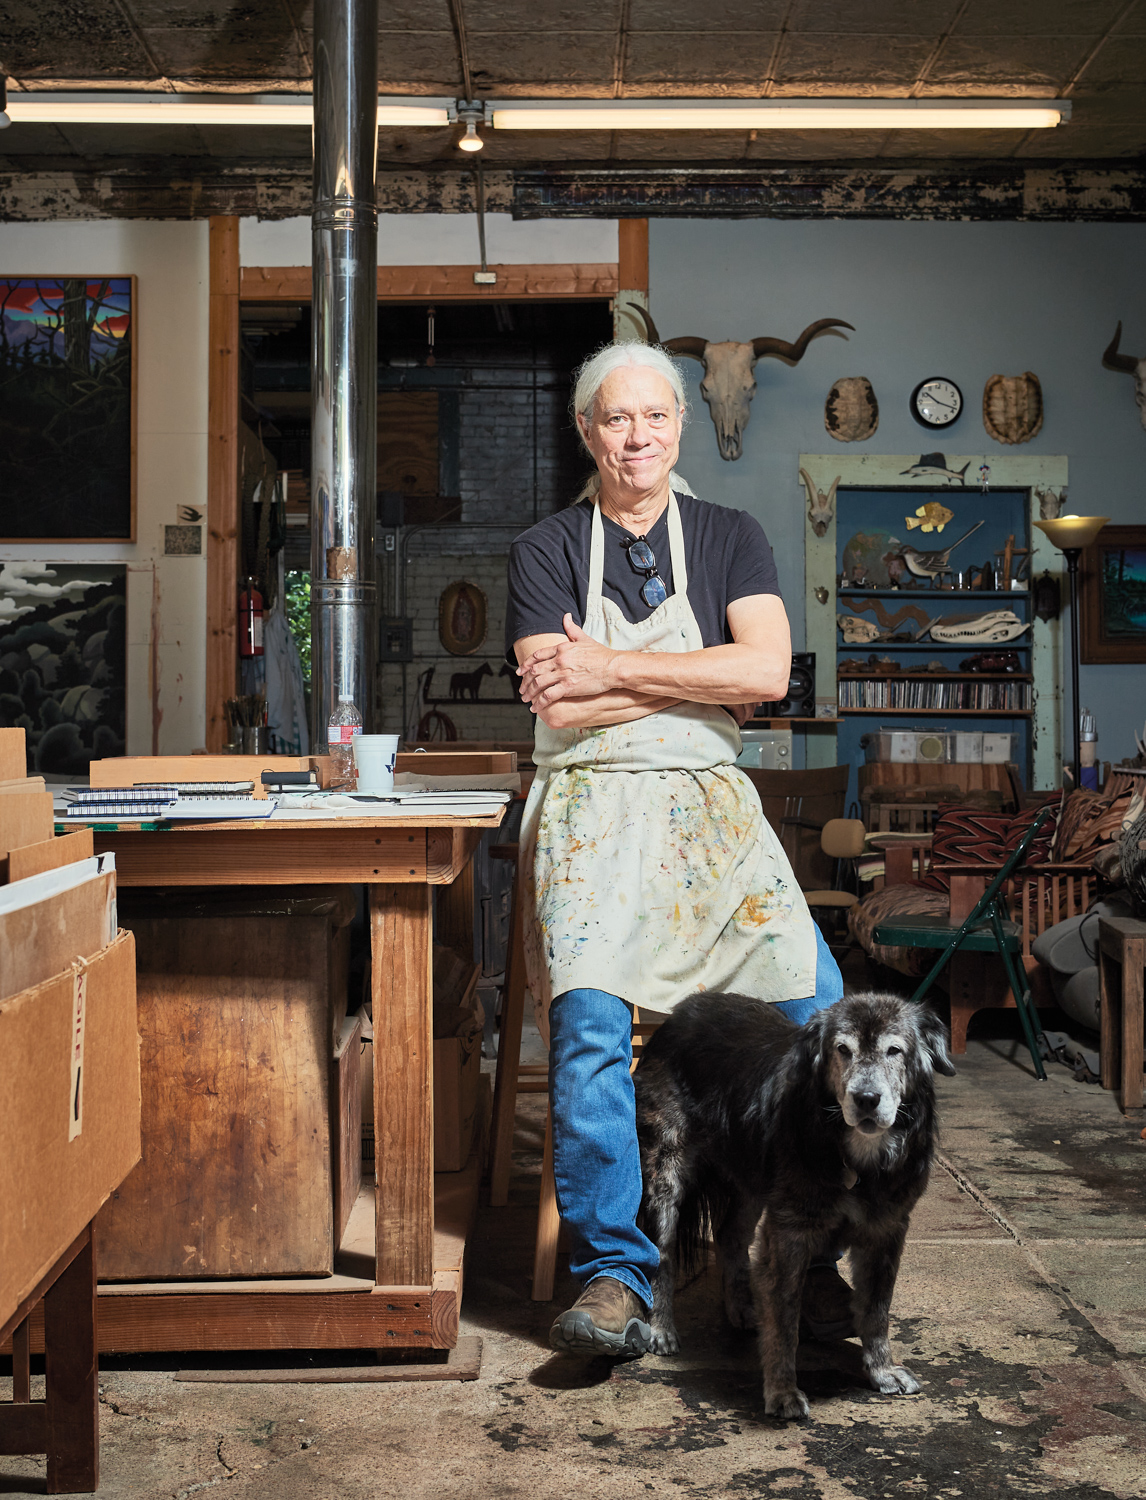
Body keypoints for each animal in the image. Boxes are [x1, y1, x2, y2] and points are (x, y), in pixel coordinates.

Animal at [630, 990, 954, 1422]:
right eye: (842, 1050)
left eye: (894, 1050)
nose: (867, 1099)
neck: (858, 1160)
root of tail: (682, 1010)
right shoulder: (789, 1233)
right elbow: (785, 1322)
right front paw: (782, 1391)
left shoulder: (886, 1231)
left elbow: (876, 1309)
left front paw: (882, 1371)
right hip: (668, 1173)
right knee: (661, 1253)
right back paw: (662, 1328)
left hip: (753, 1177)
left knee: (730, 1236)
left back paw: (742, 1308)